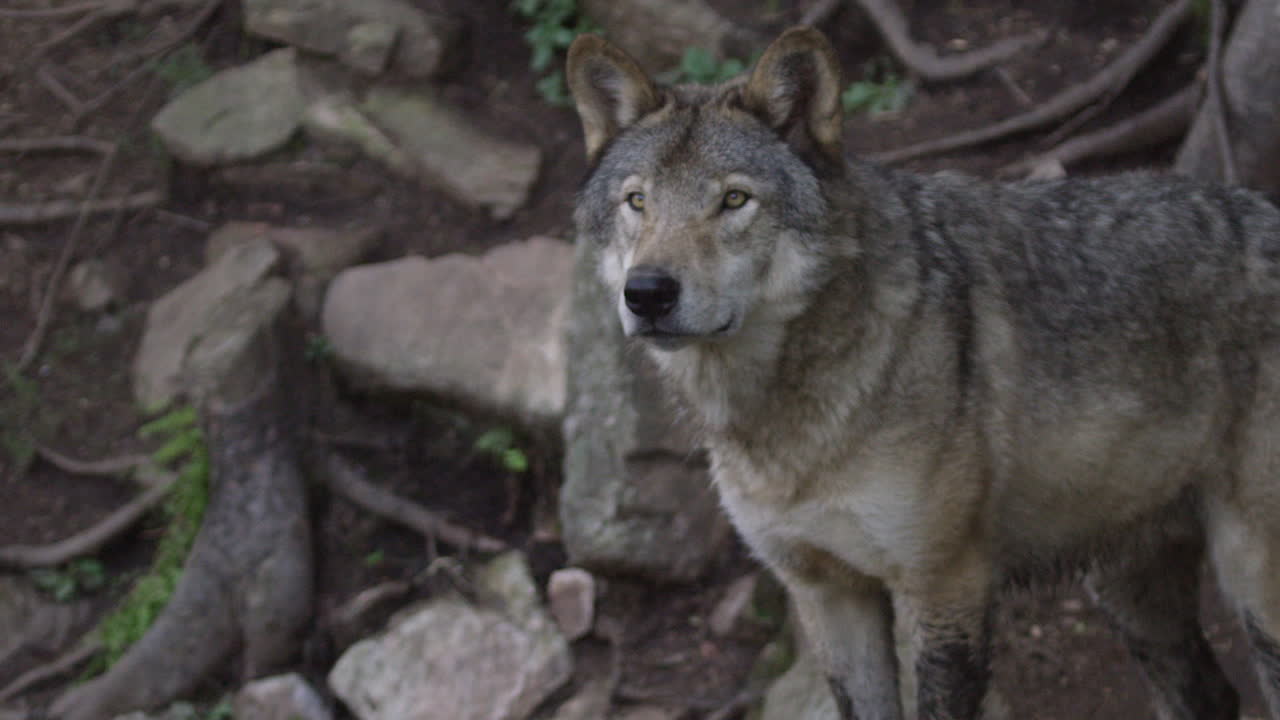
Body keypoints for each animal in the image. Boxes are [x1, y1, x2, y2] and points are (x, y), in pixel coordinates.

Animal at [567, 25, 1280, 720]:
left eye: (734, 199)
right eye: (637, 202)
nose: (648, 292)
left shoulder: (945, 586)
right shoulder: (826, 594)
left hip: (1251, 582)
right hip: (1127, 588)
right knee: (1211, 695)